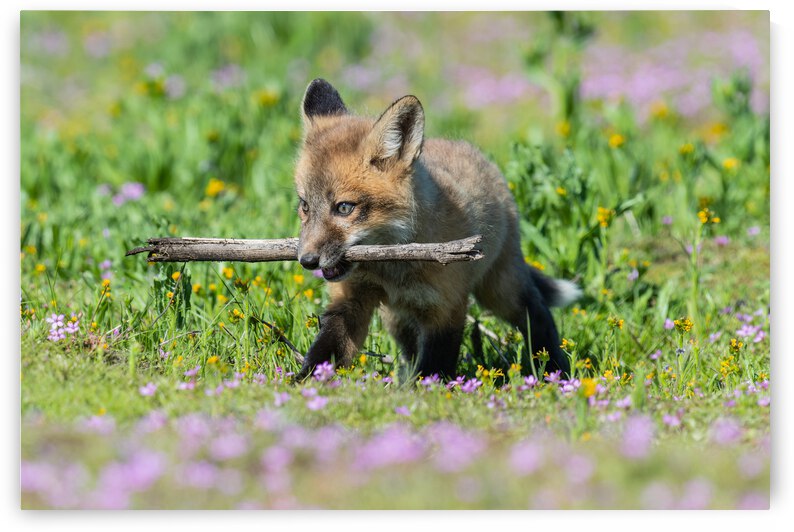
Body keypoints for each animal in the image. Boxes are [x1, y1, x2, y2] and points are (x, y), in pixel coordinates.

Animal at [293, 78, 580, 381]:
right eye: (305, 205)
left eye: (344, 207)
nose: (307, 260)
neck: (393, 268)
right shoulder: (352, 299)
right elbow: (327, 349)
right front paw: (303, 382)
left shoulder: (446, 308)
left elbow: (435, 365)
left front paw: (428, 389)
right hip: (398, 318)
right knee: (409, 352)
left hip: (501, 290)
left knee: (537, 313)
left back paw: (555, 369)